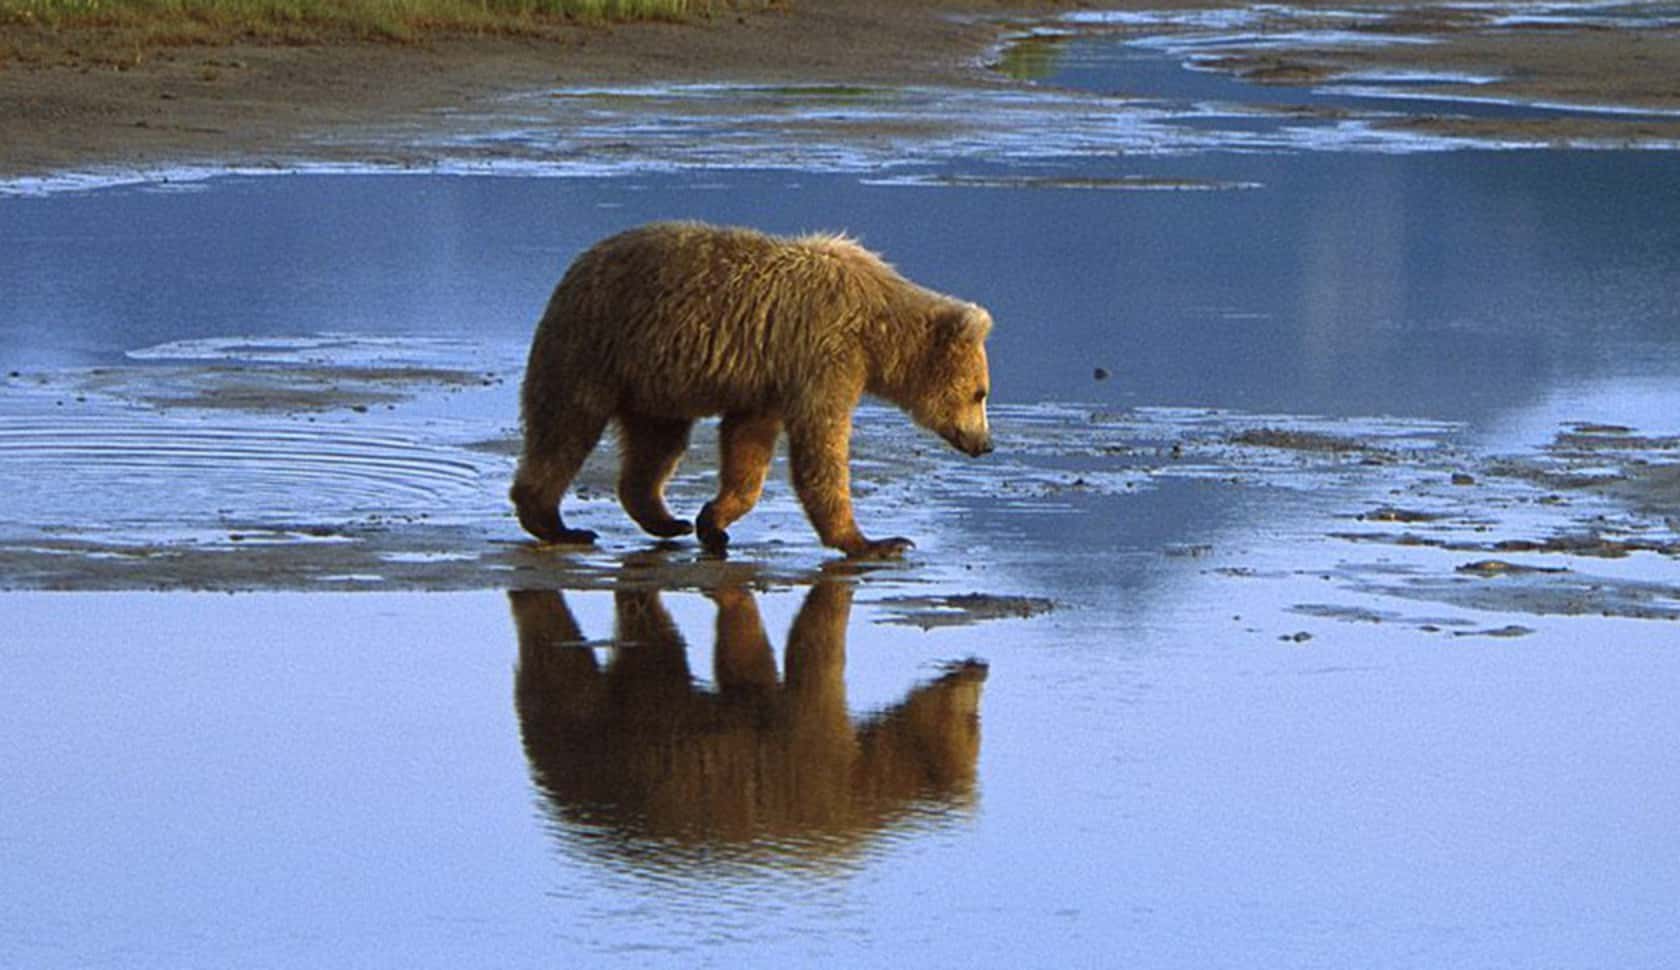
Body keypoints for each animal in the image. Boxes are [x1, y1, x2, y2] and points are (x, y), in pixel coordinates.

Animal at [510, 221, 994, 558]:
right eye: (981, 393)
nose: (985, 444)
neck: (878, 334)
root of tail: (577, 265)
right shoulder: (824, 357)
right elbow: (821, 448)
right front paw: (876, 542)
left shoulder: (770, 380)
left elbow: (749, 448)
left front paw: (713, 521)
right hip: (592, 346)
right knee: (565, 428)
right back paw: (557, 524)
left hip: (652, 379)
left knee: (657, 445)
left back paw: (667, 520)